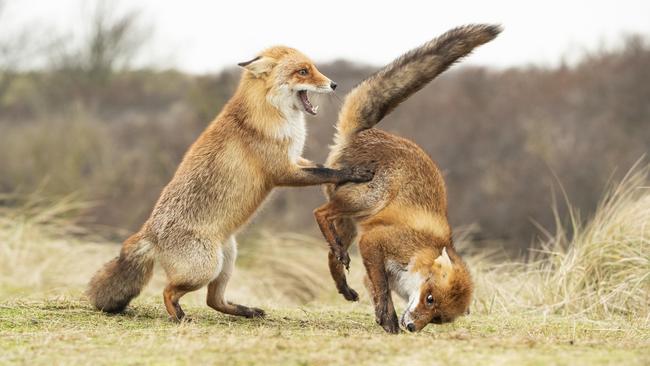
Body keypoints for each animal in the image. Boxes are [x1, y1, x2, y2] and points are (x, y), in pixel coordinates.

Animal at [86, 45, 372, 320]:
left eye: (313, 68)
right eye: (303, 71)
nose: (334, 84)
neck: (271, 115)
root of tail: (148, 233)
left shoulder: (295, 160)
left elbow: (322, 168)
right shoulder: (282, 171)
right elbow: (328, 173)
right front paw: (355, 173)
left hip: (228, 259)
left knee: (213, 301)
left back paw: (247, 311)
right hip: (205, 268)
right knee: (168, 291)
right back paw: (179, 317)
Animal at [314, 24, 502, 334]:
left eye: (437, 318)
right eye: (429, 298)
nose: (413, 327)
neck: (421, 252)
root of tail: (364, 133)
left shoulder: (372, 261)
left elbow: (374, 289)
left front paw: (383, 317)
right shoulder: (374, 243)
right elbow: (382, 289)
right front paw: (390, 320)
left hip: (351, 224)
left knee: (331, 252)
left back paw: (343, 284)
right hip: (365, 200)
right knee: (320, 213)